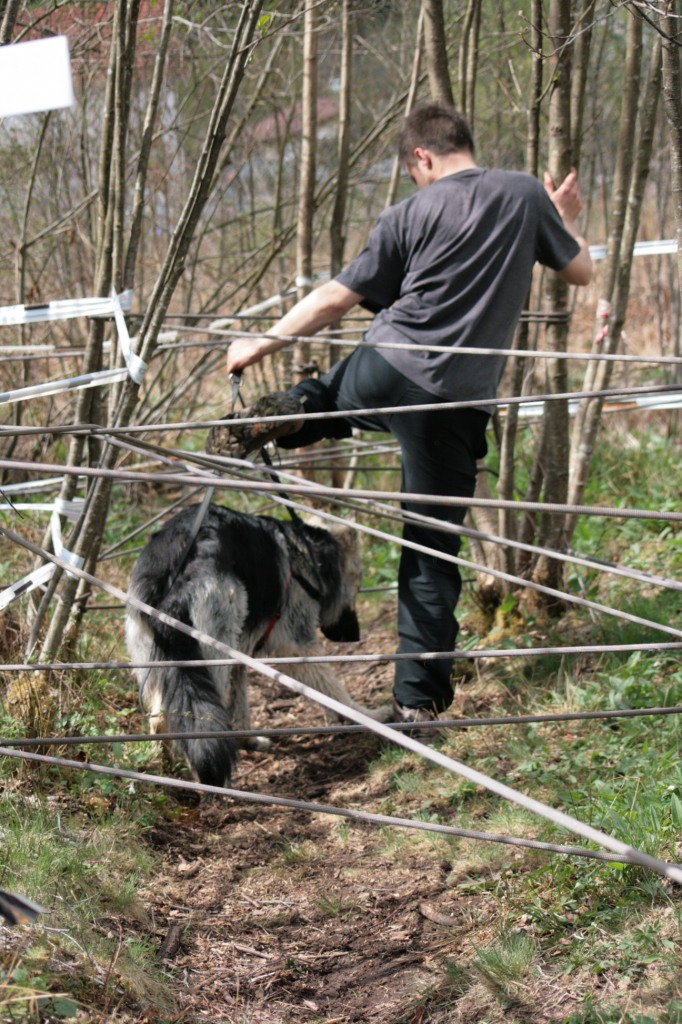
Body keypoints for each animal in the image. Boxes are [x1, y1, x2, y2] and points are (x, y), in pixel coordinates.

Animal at [127, 503, 391, 782]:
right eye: (358, 584)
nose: (355, 637)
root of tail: (181, 572)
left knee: (159, 719)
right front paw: (368, 716)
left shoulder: (240, 654)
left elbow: (239, 702)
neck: (310, 549)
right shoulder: (298, 646)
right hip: (212, 649)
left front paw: (247, 740)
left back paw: (168, 769)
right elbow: (334, 690)